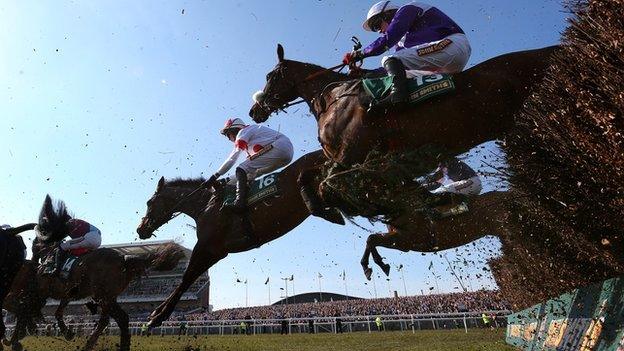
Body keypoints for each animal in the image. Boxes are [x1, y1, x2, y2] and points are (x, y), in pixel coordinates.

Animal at [3, 241, 184, 350]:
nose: (31, 259)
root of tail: (124, 258)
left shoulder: (42, 290)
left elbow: (28, 311)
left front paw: (17, 336)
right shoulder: (65, 292)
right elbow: (56, 312)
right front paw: (67, 332)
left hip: (102, 295)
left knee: (113, 319)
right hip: (108, 296)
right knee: (115, 319)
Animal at [360, 192, 516, 280]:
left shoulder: (406, 240)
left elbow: (372, 239)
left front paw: (376, 266)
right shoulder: (401, 241)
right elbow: (371, 239)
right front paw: (372, 266)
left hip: (504, 227)